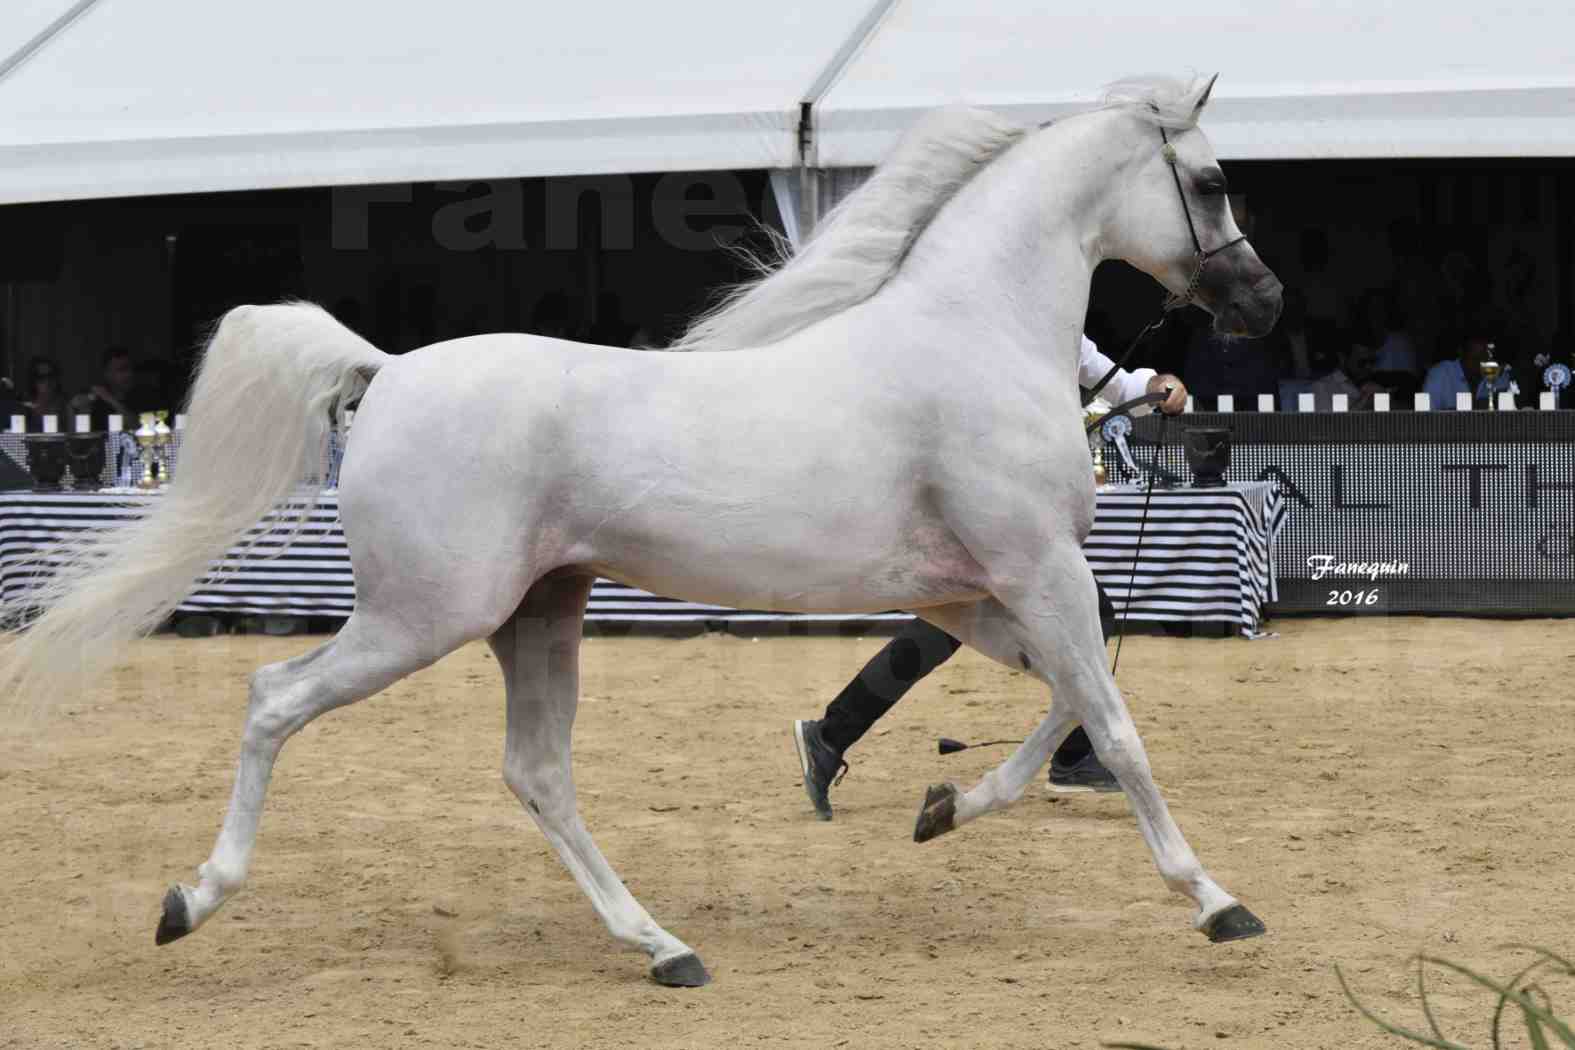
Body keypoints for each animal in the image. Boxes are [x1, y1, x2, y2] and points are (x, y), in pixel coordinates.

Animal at [0, 73, 1278, 988]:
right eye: (1216, 180)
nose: (1262, 302)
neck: (975, 337)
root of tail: (385, 370)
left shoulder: (974, 594)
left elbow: (1072, 703)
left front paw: (940, 811)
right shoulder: (1033, 571)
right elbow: (1116, 727)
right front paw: (1220, 906)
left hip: (535, 613)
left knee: (537, 773)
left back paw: (664, 948)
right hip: (423, 616)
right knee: (275, 699)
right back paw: (188, 903)